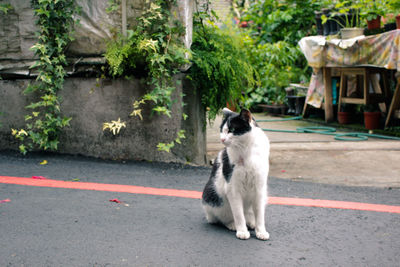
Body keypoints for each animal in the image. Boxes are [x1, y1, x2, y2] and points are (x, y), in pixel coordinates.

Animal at [202, 108, 270, 242]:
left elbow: (260, 214)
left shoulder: (260, 188)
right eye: (221, 130)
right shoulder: (233, 189)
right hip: (214, 199)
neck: (246, 150)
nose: (222, 139)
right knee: (221, 218)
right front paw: (242, 231)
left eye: (232, 129)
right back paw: (233, 225)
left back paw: (251, 223)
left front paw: (261, 231)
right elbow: (238, 214)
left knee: (250, 215)